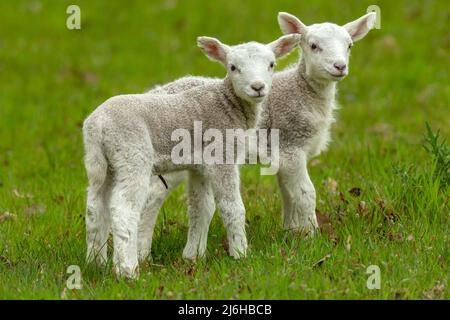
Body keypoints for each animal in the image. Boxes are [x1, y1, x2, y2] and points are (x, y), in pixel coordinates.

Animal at [83, 33, 302, 276]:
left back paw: (96, 263)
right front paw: (241, 254)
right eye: (233, 67)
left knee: (95, 207)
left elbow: (201, 208)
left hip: (104, 164)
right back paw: (127, 270)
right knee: (124, 209)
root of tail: (97, 125)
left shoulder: (200, 166)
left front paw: (194, 256)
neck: (228, 104)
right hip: (132, 154)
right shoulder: (222, 155)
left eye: (271, 64)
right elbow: (231, 207)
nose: (258, 87)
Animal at [141, 11, 376, 258]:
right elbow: (305, 193)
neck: (302, 92)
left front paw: (292, 233)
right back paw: (143, 252)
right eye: (313, 46)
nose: (339, 66)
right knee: (152, 196)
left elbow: (288, 194)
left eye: (349, 45)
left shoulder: (282, 155)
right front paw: (313, 237)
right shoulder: (292, 146)